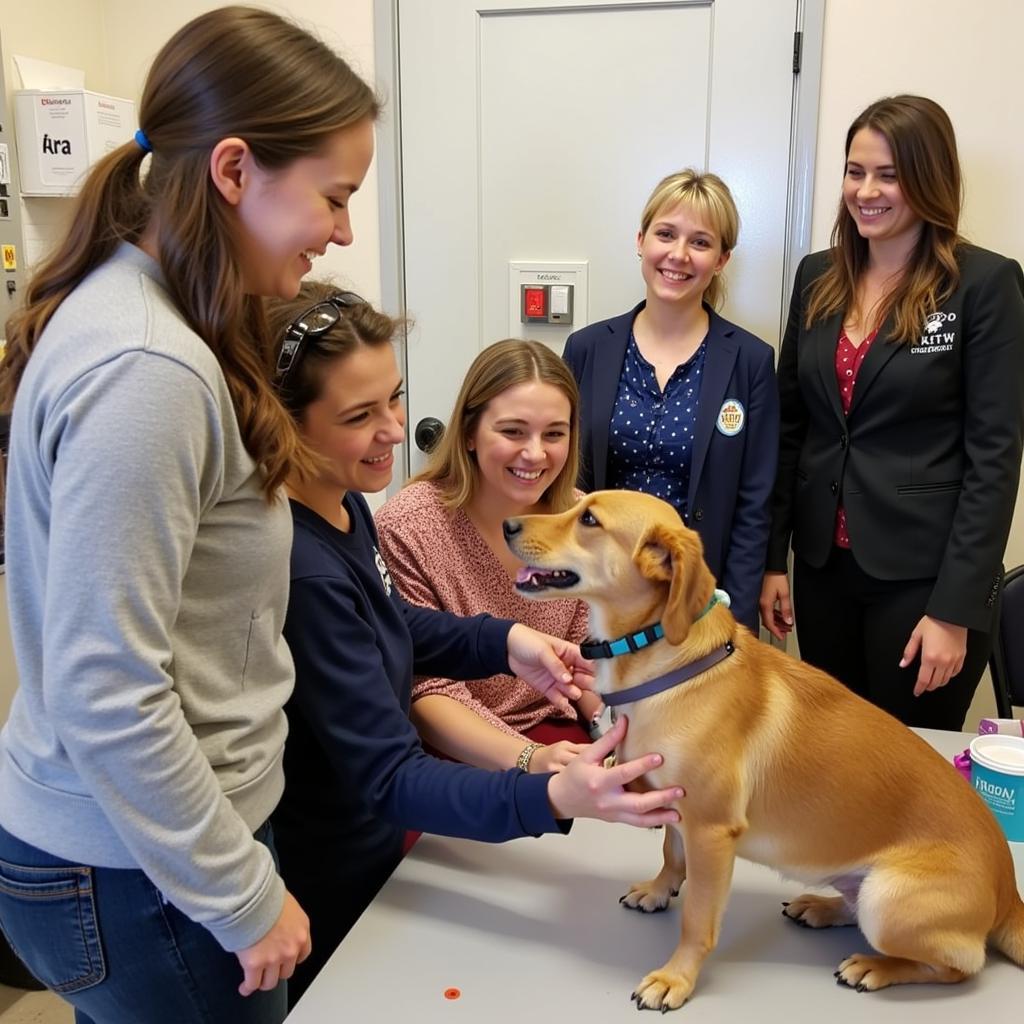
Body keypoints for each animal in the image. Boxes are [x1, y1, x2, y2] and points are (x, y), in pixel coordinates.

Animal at [503, 491, 1024, 1011]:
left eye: (589, 519)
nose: (508, 524)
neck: (668, 664)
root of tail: (1009, 894)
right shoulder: (677, 809)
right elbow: (672, 854)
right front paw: (658, 890)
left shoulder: (711, 831)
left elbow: (697, 919)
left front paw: (677, 977)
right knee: (858, 908)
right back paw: (820, 907)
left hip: (888, 899)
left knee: (960, 966)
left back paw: (875, 966)